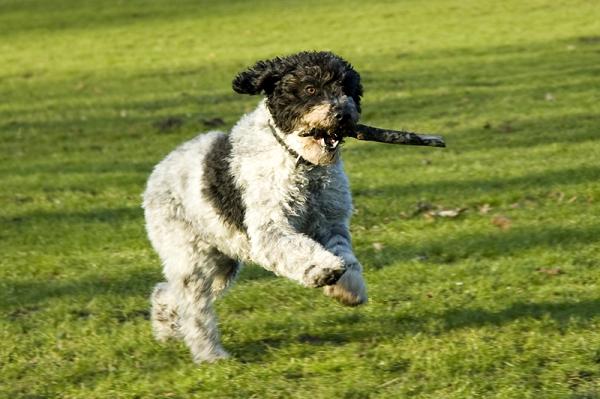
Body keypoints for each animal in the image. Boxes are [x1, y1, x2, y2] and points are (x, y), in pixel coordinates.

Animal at [144, 51, 368, 364]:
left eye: (348, 89)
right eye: (311, 88)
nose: (342, 114)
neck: (299, 161)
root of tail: (157, 173)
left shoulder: (330, 223)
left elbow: (346, 257)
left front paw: (349, 288)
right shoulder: (270, 229)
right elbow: (299, 249)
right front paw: (322, 270)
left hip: (220, 261)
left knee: (167, 293)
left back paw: (165, 325)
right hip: (190, 258)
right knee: (195, 312)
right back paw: (211, 355)